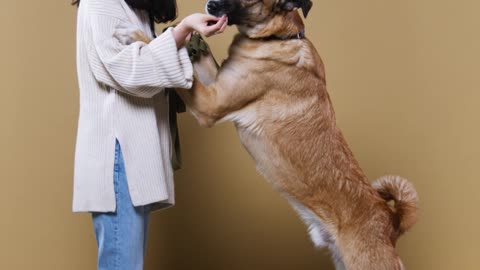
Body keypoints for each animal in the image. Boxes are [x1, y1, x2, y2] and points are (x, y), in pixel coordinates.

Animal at [118, 0, 418, 268]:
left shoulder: (210, 105)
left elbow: (179, 73)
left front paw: (141, 38)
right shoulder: (218, 84)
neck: (276, 37)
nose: (210, 5)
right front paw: (188, 38)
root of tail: (390, 219)